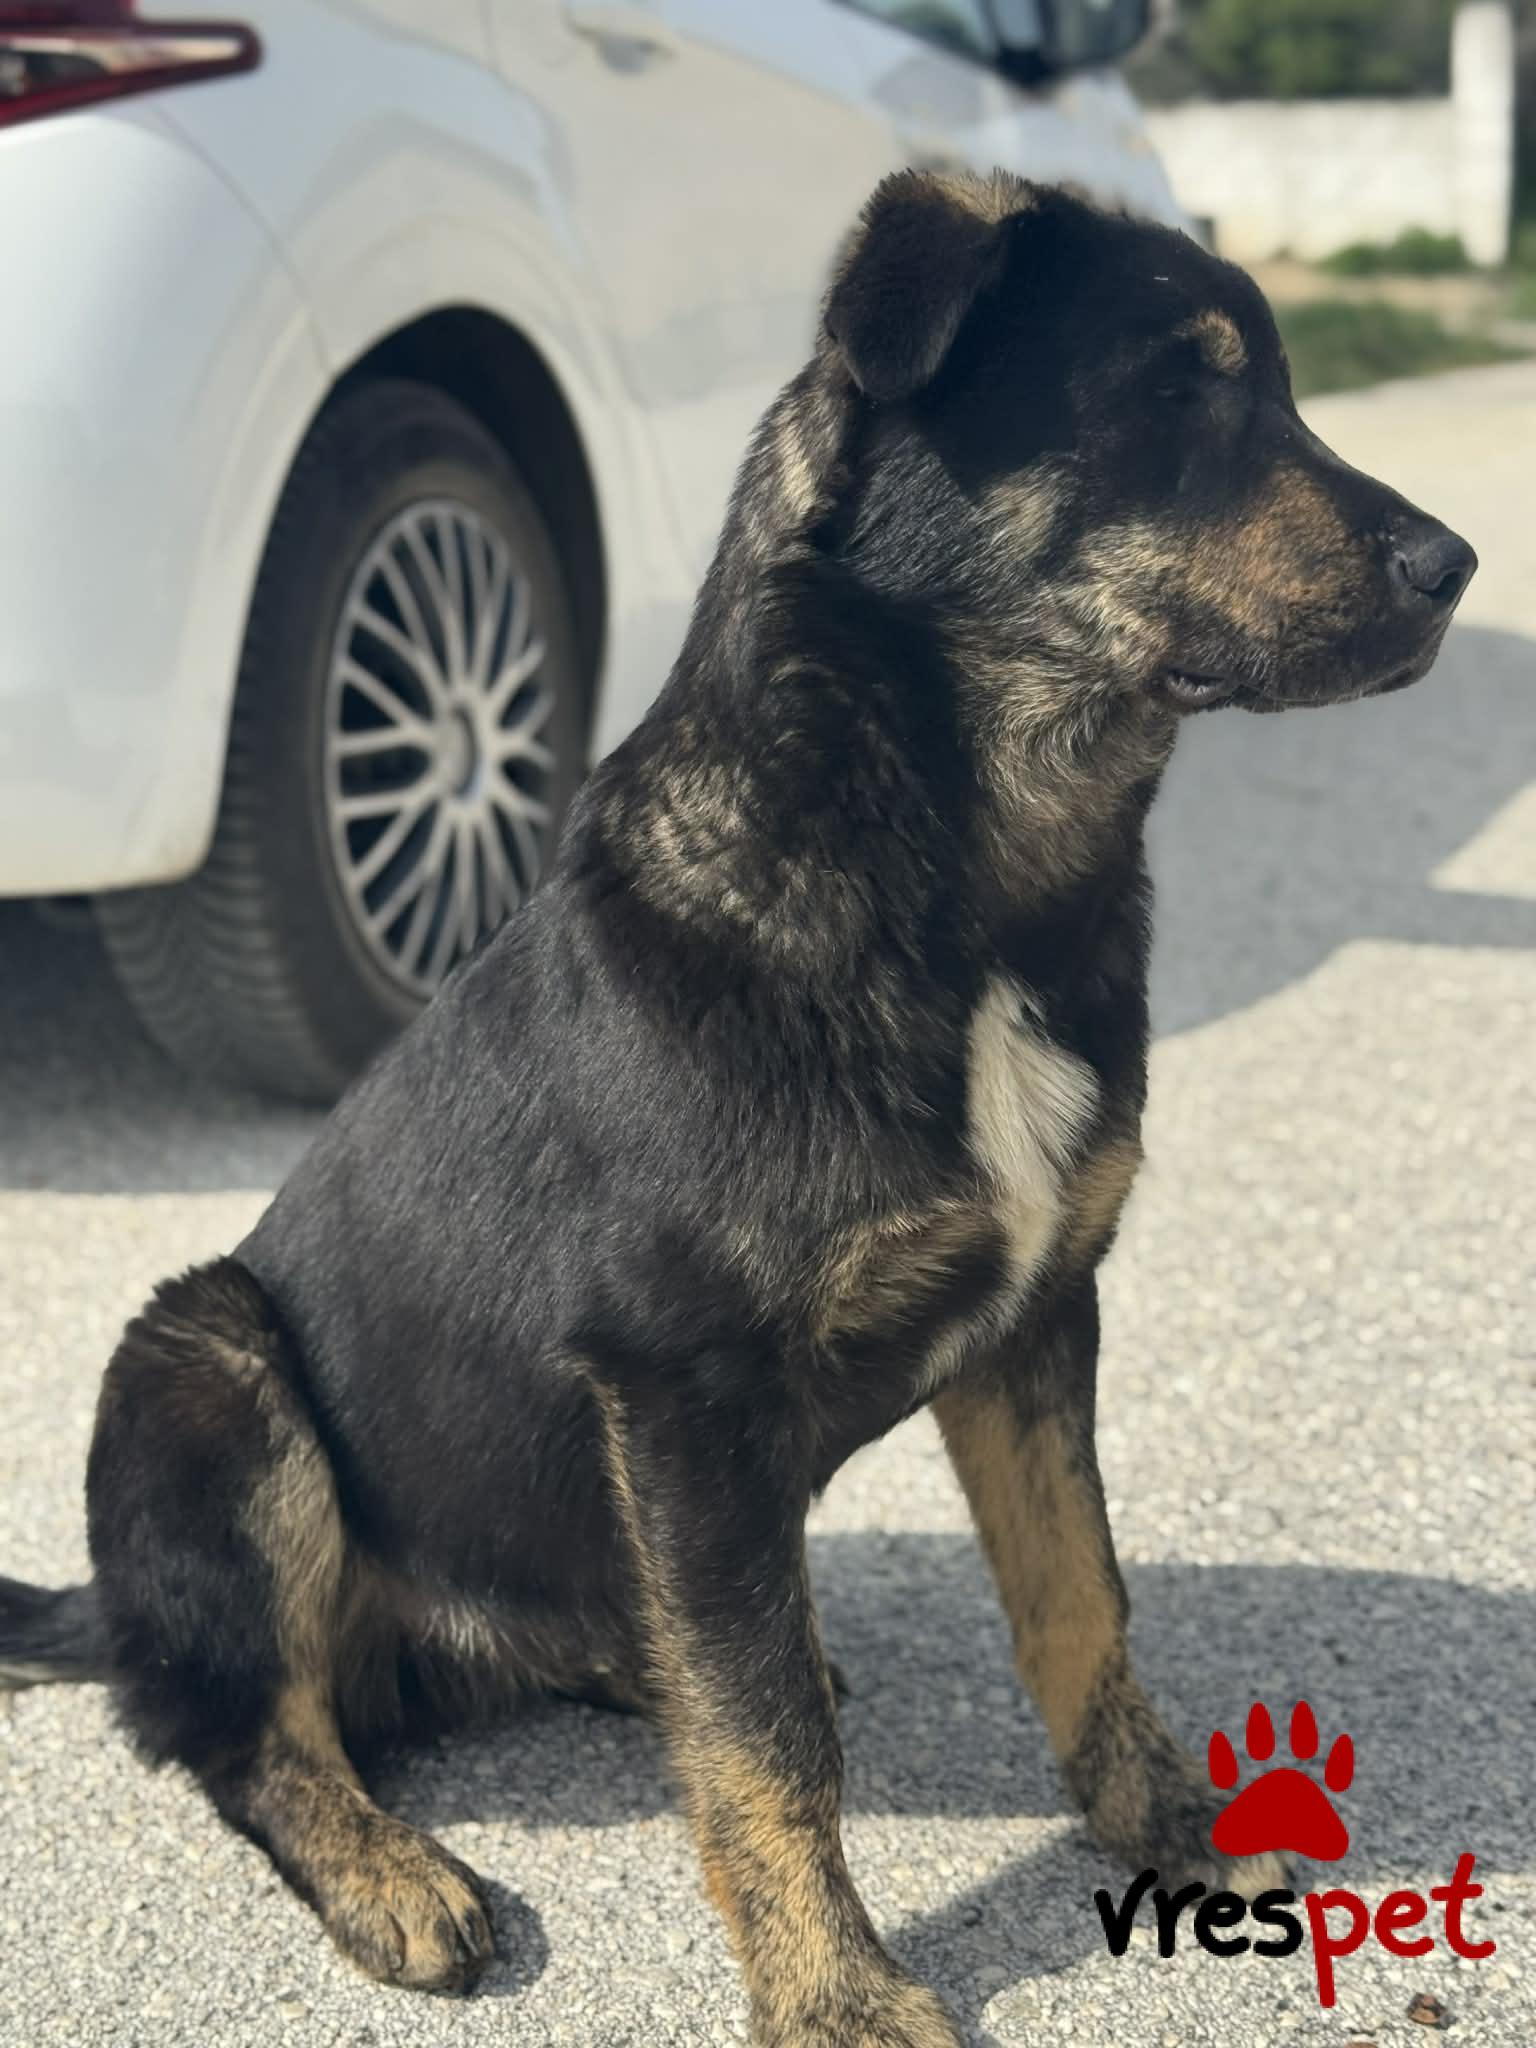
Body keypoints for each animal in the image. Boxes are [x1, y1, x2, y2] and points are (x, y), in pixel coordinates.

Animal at [1, 172, 1474, 2048]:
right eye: (1184, 389)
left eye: (1275, 390)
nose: (1458, 569)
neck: (961, 890)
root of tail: (116, 1606)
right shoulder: (683, 1386)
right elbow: (770, 1743)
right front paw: (833, 1987)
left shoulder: (1037, 1319)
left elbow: (1078, 1598)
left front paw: (1163, 1821)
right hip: (203, 1354)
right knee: (249, 1728)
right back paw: (387, 1863)